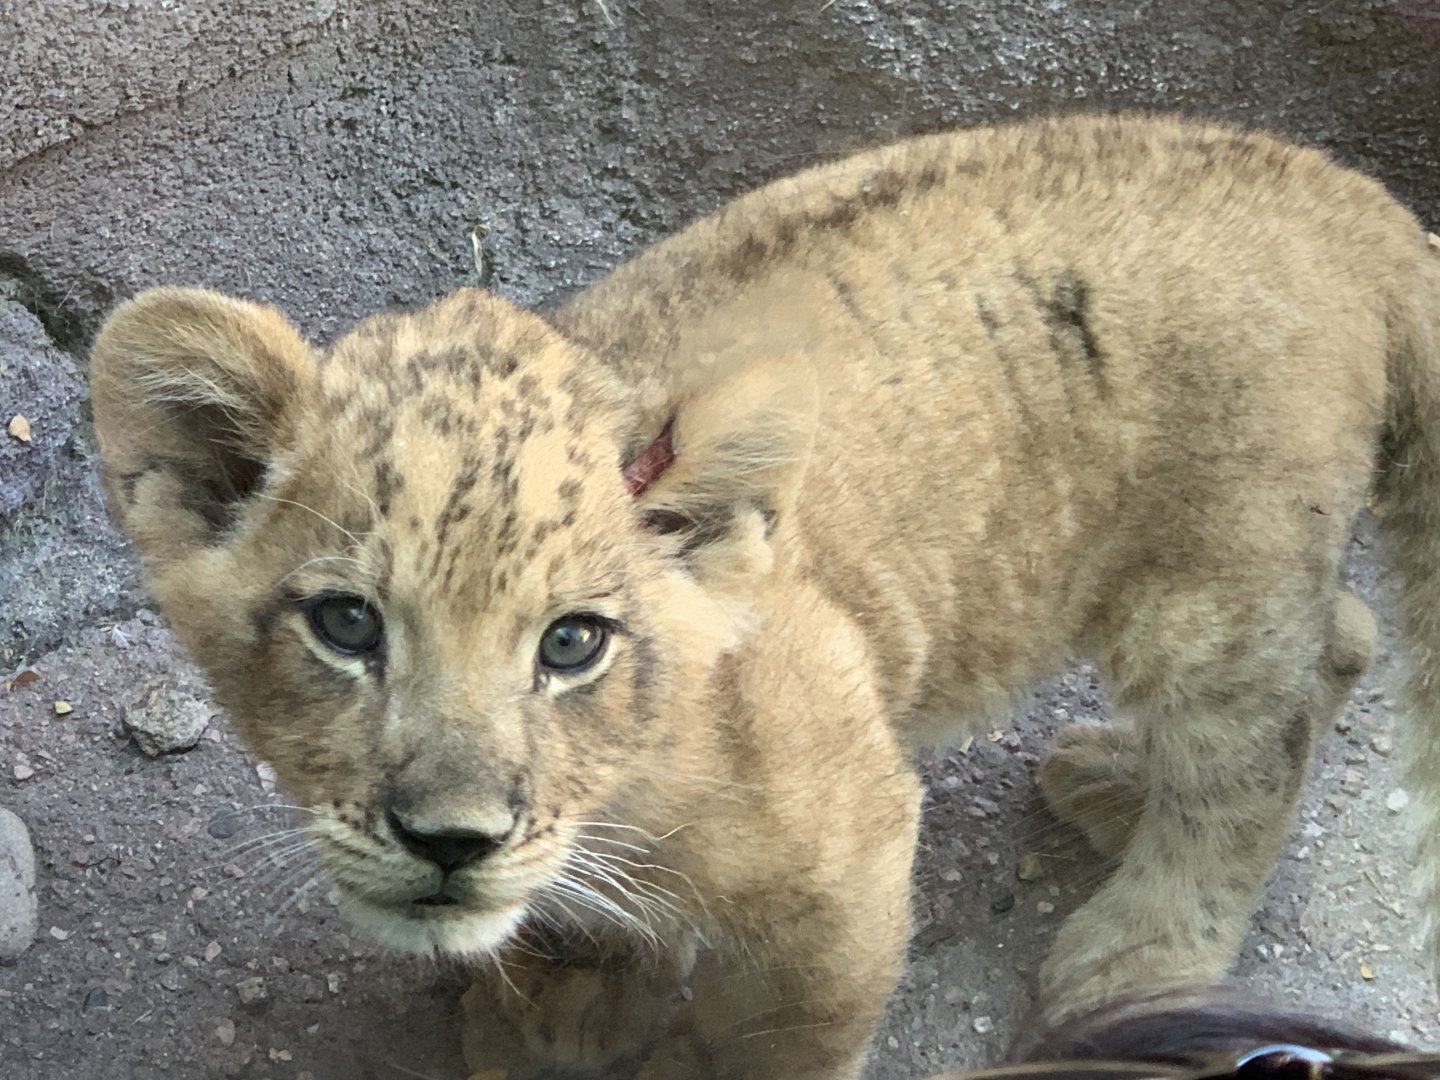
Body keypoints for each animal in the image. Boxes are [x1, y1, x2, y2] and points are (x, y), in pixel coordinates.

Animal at [88, 113, 1440, 1079]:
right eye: (346, 625)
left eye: (573, 644)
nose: (449, 844)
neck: (626, 793)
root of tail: (1339, 187)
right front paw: (565, 1001)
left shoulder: (854, 853)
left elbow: (777, 1034)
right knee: (1342, 636)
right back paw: (1115, 781)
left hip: (1210, 577)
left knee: (1249, 755)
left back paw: (1139, 951)